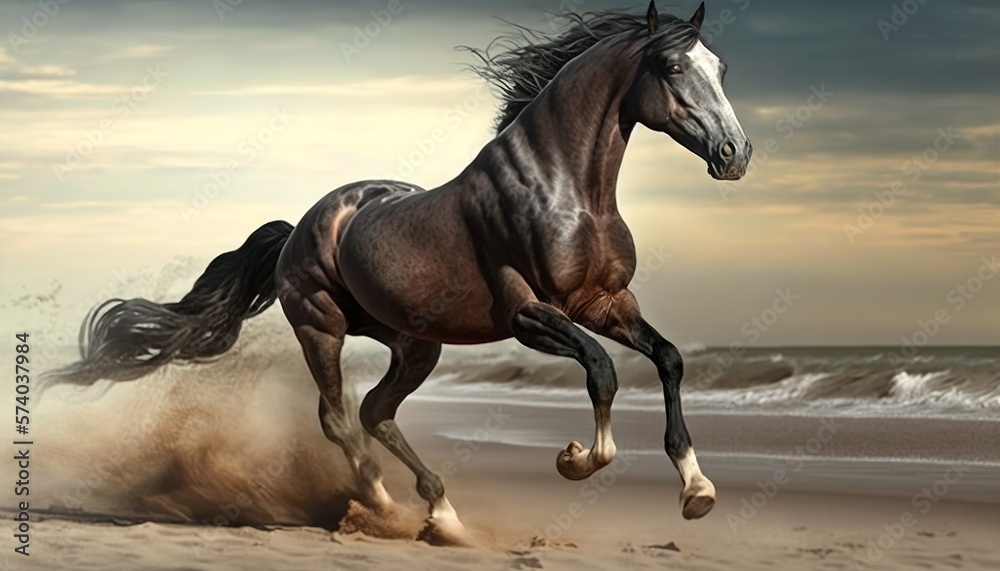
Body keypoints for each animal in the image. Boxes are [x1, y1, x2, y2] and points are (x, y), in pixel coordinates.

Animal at [40, 1, 751, 546]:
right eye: (673, 66)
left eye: (720, 65)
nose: (735, 153)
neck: (567, 189)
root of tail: (300, 227)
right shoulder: (532, 315)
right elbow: (601, 369)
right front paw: (578, 461)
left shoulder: (604, 302)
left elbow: (668, 359)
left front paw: (697, 491)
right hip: (321, 327)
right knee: (339, 418)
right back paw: (384, 508)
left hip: (414, 341)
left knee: (376, 411)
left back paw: (443, 514)